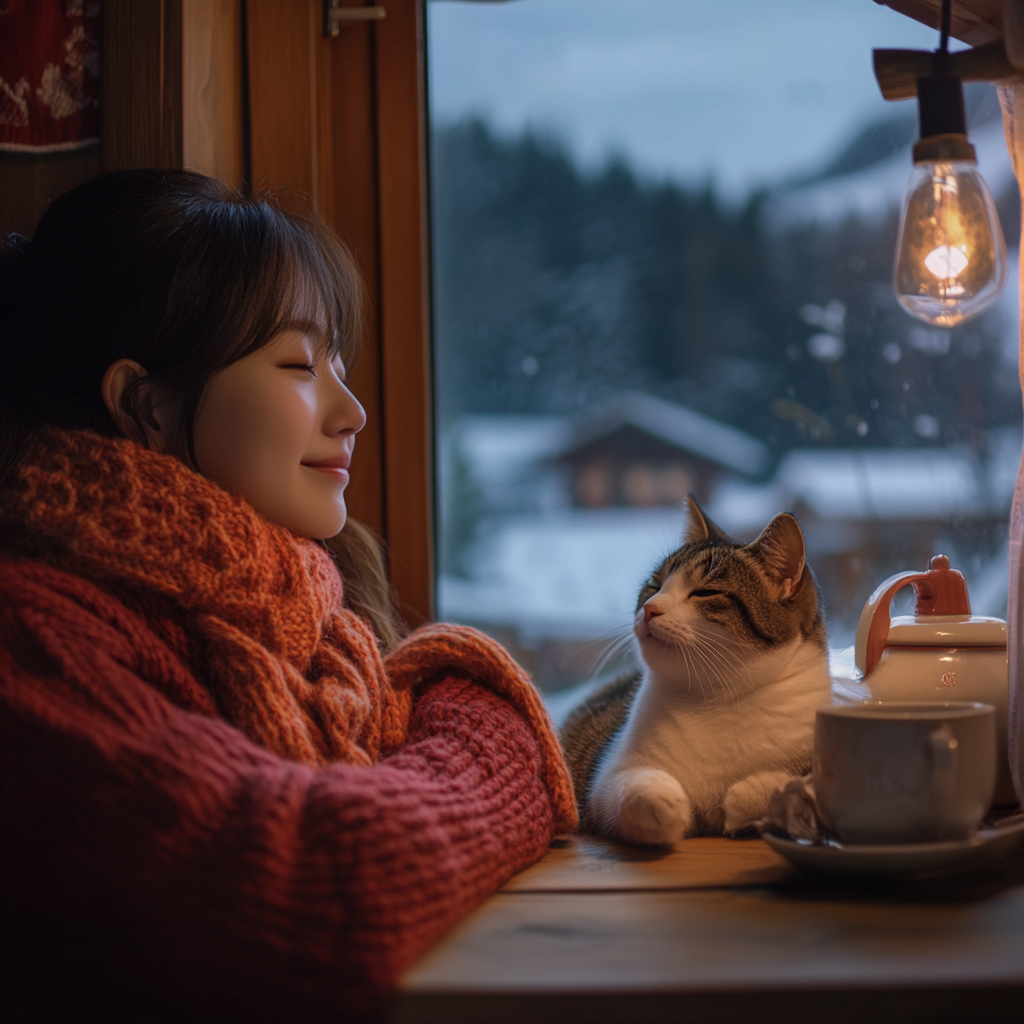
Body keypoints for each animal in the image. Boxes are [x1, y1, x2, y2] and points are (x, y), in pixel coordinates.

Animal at [561, 497, 831, 847]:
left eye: (704, 592)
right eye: (653, 585)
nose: (649, 609)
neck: (719, 697)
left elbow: (801, 781)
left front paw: (753, 795)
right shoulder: (604, 781)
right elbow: (624, 787)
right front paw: (662, 800)